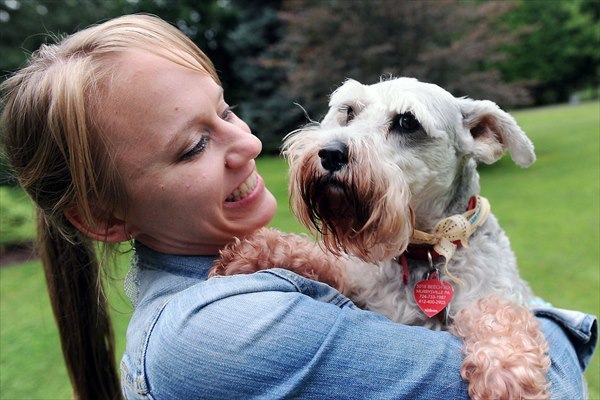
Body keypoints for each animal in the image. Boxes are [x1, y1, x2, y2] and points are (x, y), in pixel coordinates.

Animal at [210, 76, 548, 398]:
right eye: (349, 111)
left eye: (407, 121)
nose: (330, 153)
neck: (422, 250)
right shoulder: (359, 280)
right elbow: (321, 259)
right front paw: (253, 250)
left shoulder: (497, 290)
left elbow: (498, 314)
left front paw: (506, 373)